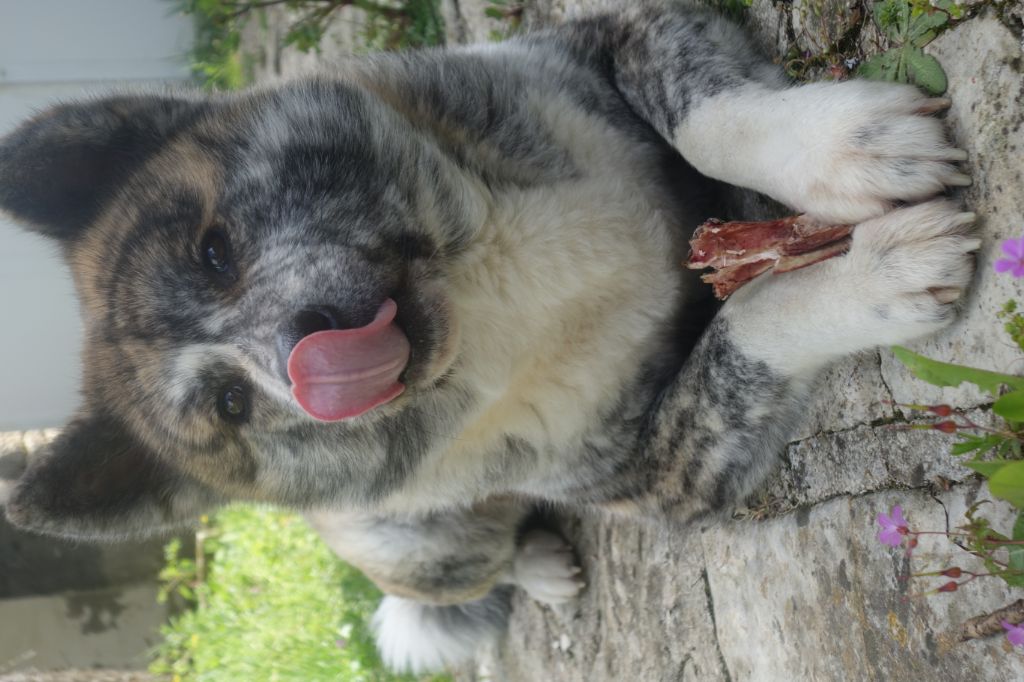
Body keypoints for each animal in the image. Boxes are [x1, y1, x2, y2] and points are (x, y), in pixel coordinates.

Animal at [0, 0, 974, 667]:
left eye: (214, 251)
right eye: (231, 403)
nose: (305, 356)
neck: (483, 287)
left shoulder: (623, 34)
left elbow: (712, 127)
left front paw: (847, 148)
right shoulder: (670, 473)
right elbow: (750, 318)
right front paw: (879, 274)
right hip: (422, 545)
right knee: (483, 566)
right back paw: (537, 568)